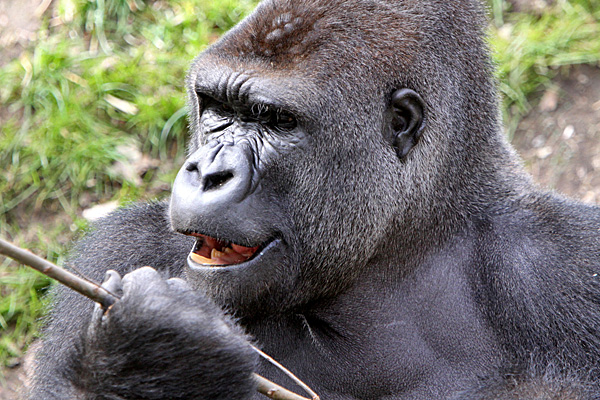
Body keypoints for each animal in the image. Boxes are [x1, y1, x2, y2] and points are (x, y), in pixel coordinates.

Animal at [27, 0, 600, 398]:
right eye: (216, 108)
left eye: (276, 120)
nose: (208, 172)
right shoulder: (125, 249)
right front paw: (150, 358)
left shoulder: (567, 260)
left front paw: (156, 353)